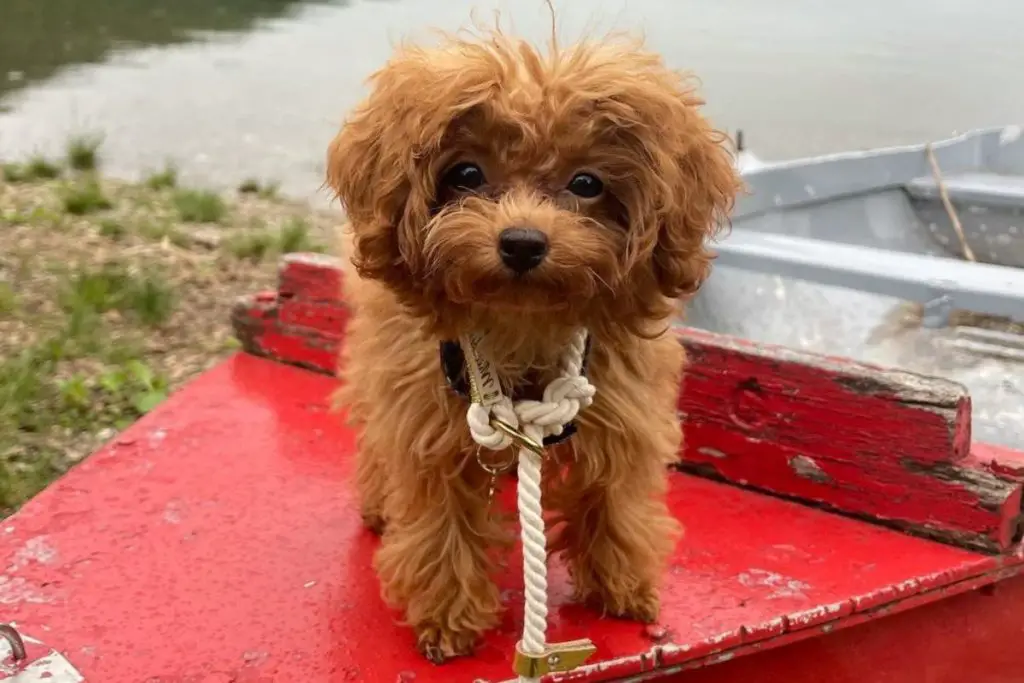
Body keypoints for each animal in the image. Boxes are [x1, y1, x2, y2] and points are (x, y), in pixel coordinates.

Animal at [325, 29, 737, 663]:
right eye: (466, 173)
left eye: (587, 183)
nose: (521, 241)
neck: (521, 321)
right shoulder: (423, 418)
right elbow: (439, 517)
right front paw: (448, 617)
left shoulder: (625, 409)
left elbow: (615, 493)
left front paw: (622, 584)